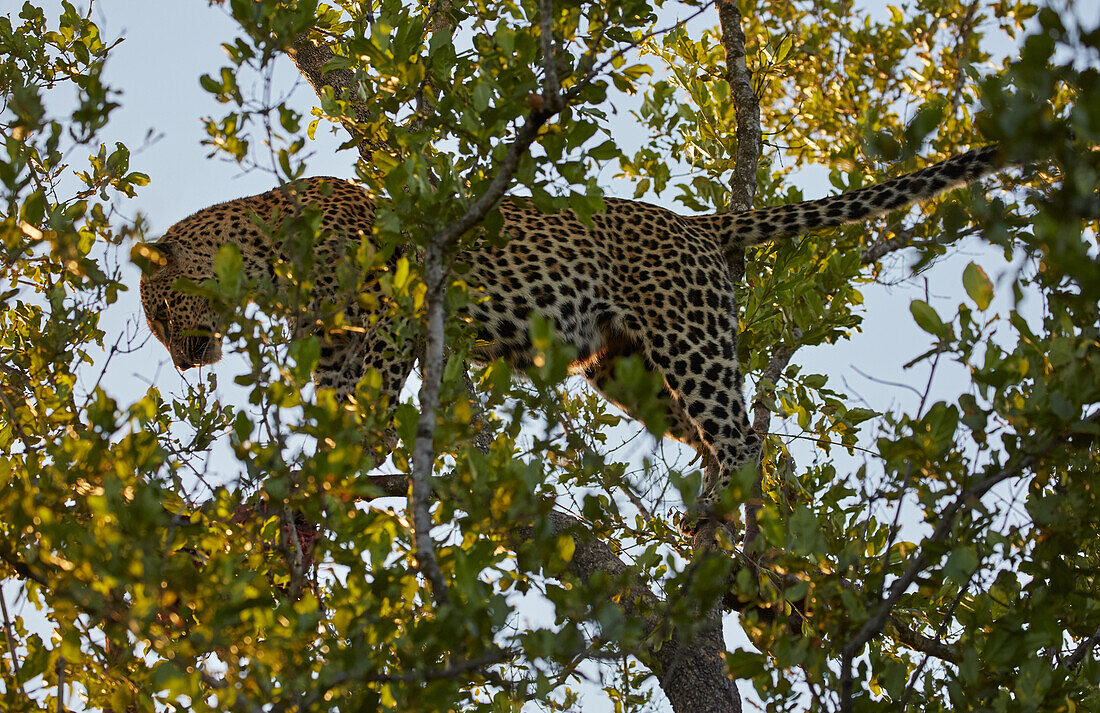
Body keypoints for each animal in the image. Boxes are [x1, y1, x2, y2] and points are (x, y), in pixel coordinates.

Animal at [137, 146, 1007, 512]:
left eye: (159, 314)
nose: (181, 367)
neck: (259, 258)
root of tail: (694, 223)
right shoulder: (331, 340)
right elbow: (334, 391)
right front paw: (320, 461)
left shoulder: (391, 308)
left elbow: (377, 382)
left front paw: (365, 439)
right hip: (630, 371)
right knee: (761, 444)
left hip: (687, 337)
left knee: (741, 436)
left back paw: (719, 509)